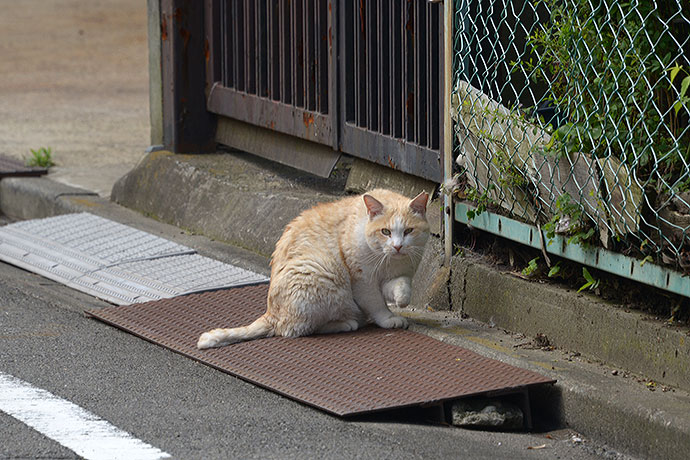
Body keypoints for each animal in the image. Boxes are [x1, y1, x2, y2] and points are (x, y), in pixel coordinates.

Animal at [196, 187, 428, 348]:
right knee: (295, 329)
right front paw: (389, 319)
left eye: (408, 231)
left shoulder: (397, 274)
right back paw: (347, 323)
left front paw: (401, 299)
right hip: (319, 277)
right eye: (385, 232)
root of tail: (271, 313)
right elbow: (377, 304)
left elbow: (402, 286)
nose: (397, 246)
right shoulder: (362, 280)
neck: (389, 260)